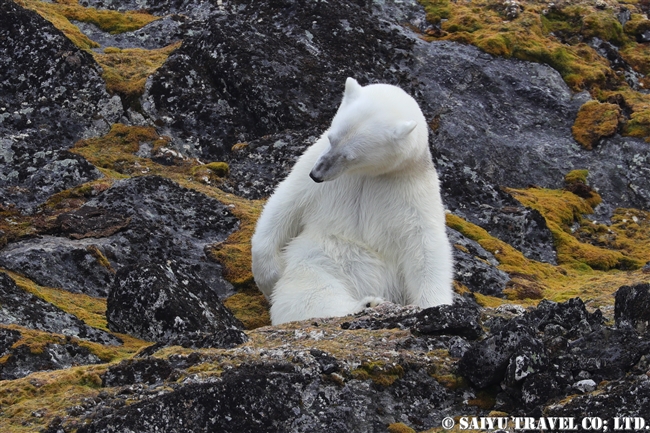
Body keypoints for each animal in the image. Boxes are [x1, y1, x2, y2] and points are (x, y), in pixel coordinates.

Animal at [251, 77, 454, 324]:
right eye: (331, 138)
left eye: (351, 156)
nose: (317, 174)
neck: (368, 174)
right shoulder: (317, 173)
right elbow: (287, 203)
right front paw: (269, 275)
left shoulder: (410, 188)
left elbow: (424, 242)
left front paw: (435, 305)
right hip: (323, 259)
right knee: (309, 291)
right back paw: (365, 305)